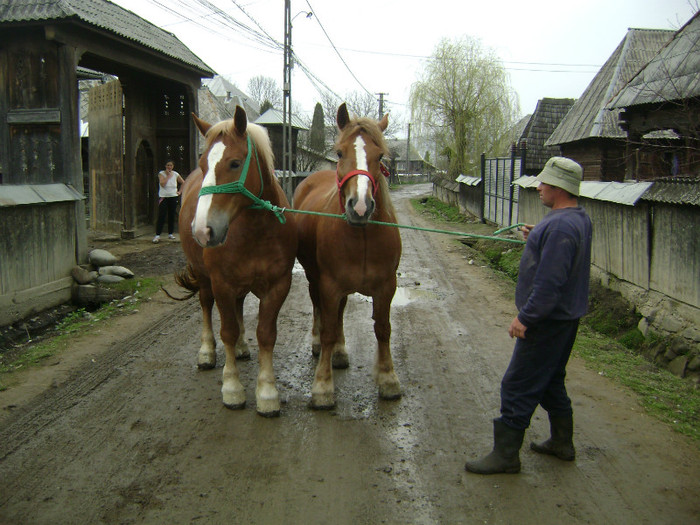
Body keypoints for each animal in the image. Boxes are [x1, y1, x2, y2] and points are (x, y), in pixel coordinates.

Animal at [176, 107, 296, 418]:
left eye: (234, 163)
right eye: (203, 165)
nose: (202, 230)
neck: (255, 230)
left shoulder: (278, 286)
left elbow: (266, 334)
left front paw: (267, 392)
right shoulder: (221, 284)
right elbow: (227, 331)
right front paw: (232, 389)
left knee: (240, 307)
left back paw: (242, 347)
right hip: (205, 279)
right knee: (206, 306)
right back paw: (207, 352)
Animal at [292, 101, 402, 406]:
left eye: (380, 156)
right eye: (340, 153)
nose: (361, 207)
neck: (362, 236)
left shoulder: (386, 287)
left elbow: (383, 329)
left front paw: (388, 378)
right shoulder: (329, 284)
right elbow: (329, 329)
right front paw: (322, 386)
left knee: (340, 313)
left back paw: (340, 353)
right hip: (314, 278)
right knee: (319, 309)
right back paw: (318, 344)